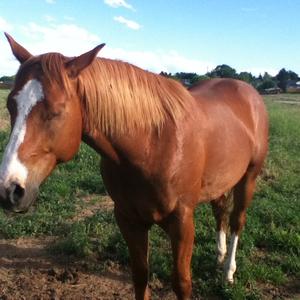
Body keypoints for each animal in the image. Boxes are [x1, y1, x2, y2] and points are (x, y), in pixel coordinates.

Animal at [0, 33, 268, 300]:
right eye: (10, 105)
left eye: (56, 111)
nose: (9, 189)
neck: (152, 145)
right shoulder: (128, 218)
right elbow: (140, 276)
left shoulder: (182, 221)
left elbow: (182, 282)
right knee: (220, 210)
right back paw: (219, 256)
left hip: (249, 178)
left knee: (237, 220)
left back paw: (228, 272)